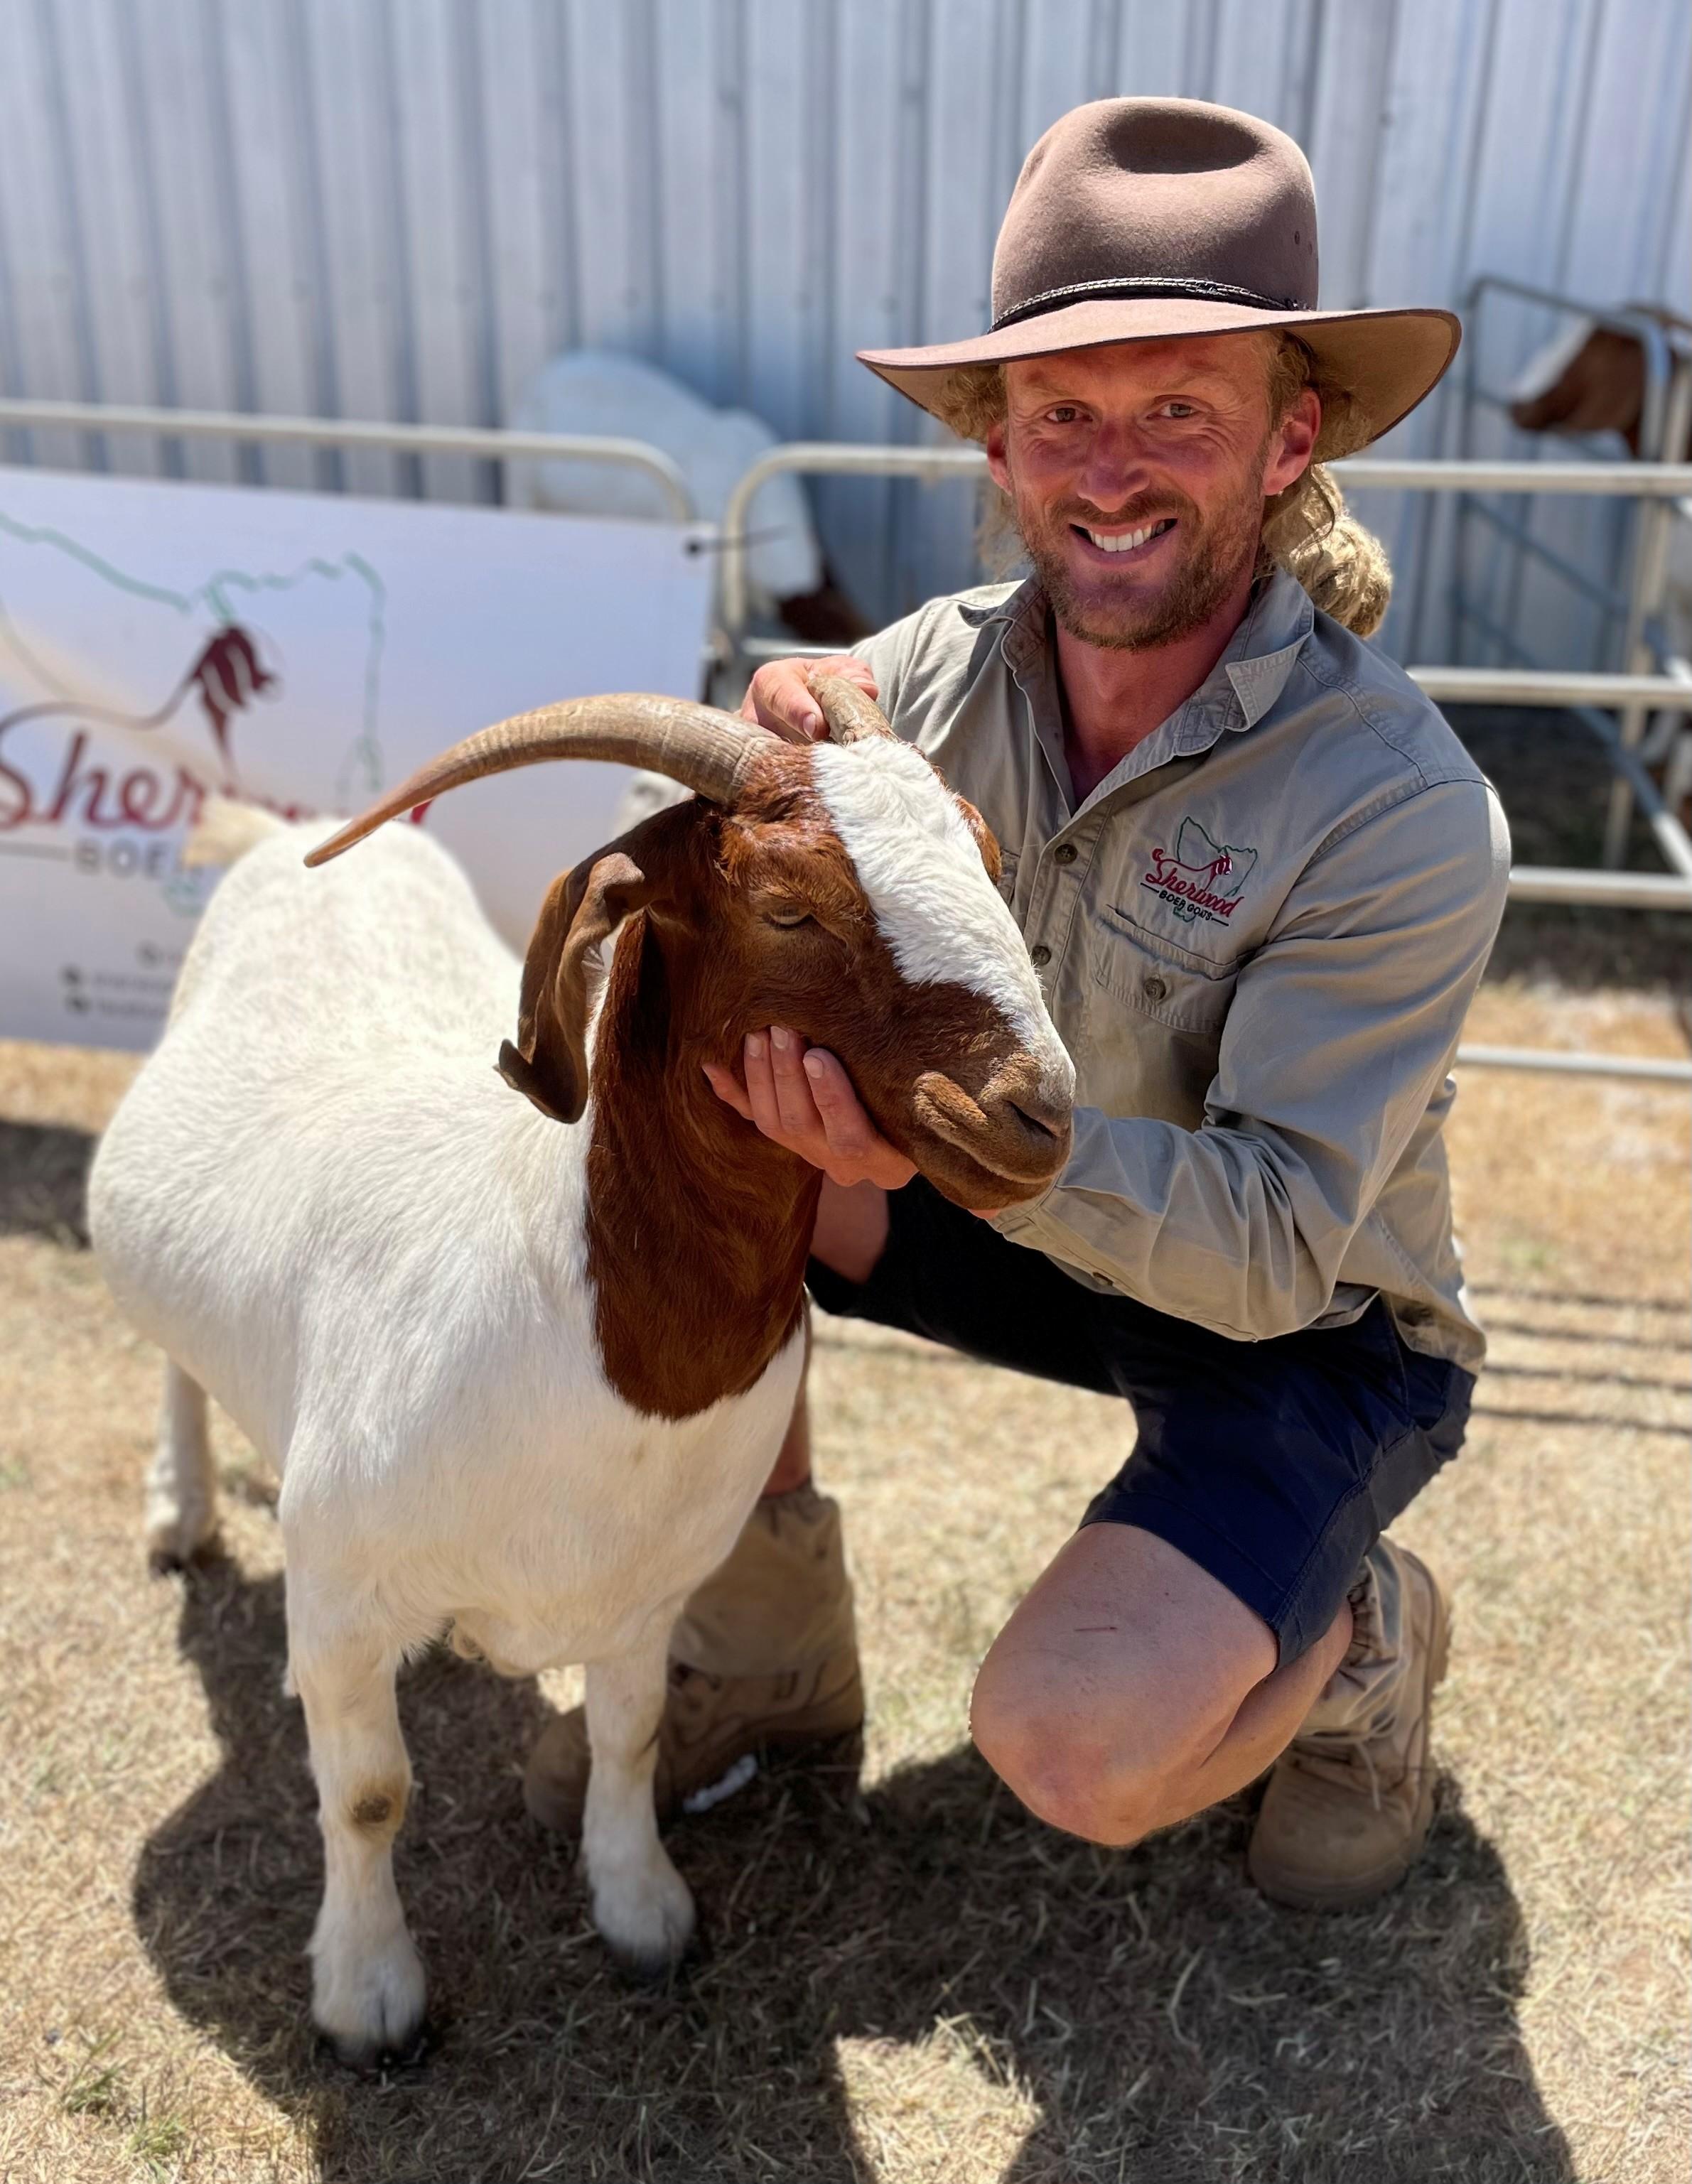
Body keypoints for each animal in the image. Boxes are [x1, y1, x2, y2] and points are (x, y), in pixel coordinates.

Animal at [89, 677, 1074, 2068]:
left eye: (988, 861)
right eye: (788, 906)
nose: (1037, 1112)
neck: (575, 1322)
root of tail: (304, 839)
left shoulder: (644, 1594)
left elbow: (630, 1736)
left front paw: (641, 1908)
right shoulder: (347, 1587)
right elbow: (370, 1793)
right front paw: (368, 1991)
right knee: (176, 1358)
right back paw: (178, 1511)